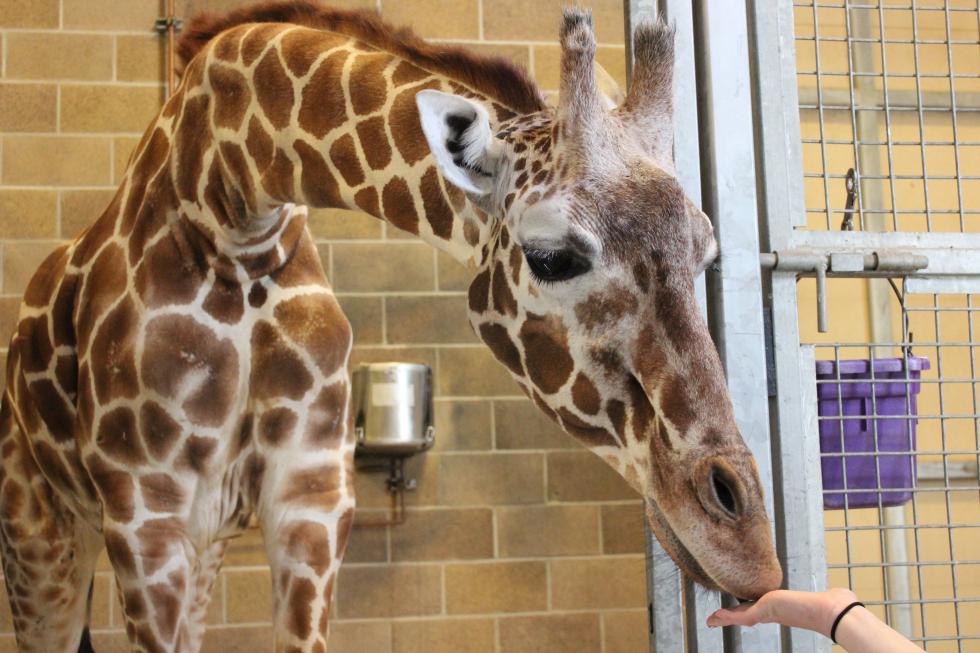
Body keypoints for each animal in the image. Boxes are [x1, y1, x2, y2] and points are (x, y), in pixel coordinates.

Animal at [0, 2, 780, 648]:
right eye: (553, 256)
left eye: (707, 249)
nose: (750, 550)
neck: (231, 209)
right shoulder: (144, 512)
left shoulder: (311, 495)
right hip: (43, 534)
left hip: (205, 541)